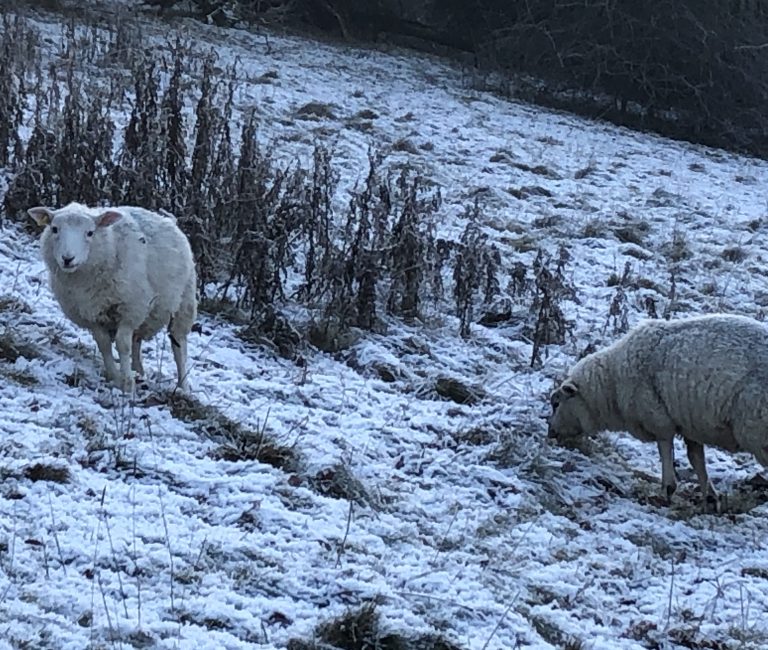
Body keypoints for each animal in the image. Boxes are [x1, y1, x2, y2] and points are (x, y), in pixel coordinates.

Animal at [29, 200, 198, 392]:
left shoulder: (130, 309)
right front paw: (115, 376)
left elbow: (122, 345)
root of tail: (169, 219)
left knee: (179, 346)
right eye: (54, 229)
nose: (67, 259)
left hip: (184, 303)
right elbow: (104, 345)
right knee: (136, 342)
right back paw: (138, 372)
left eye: (90, 232)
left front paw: (127, 384)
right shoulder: (90, 313)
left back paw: (183, 387)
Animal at [548, 314, 768, 512]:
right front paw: (710, 498)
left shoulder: (659, 420)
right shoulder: (689, 425)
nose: (550, 433)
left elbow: (665, 451)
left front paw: (667, 490)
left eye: (556, 404)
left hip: (756, 430)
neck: (611, 385)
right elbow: (695, 458)